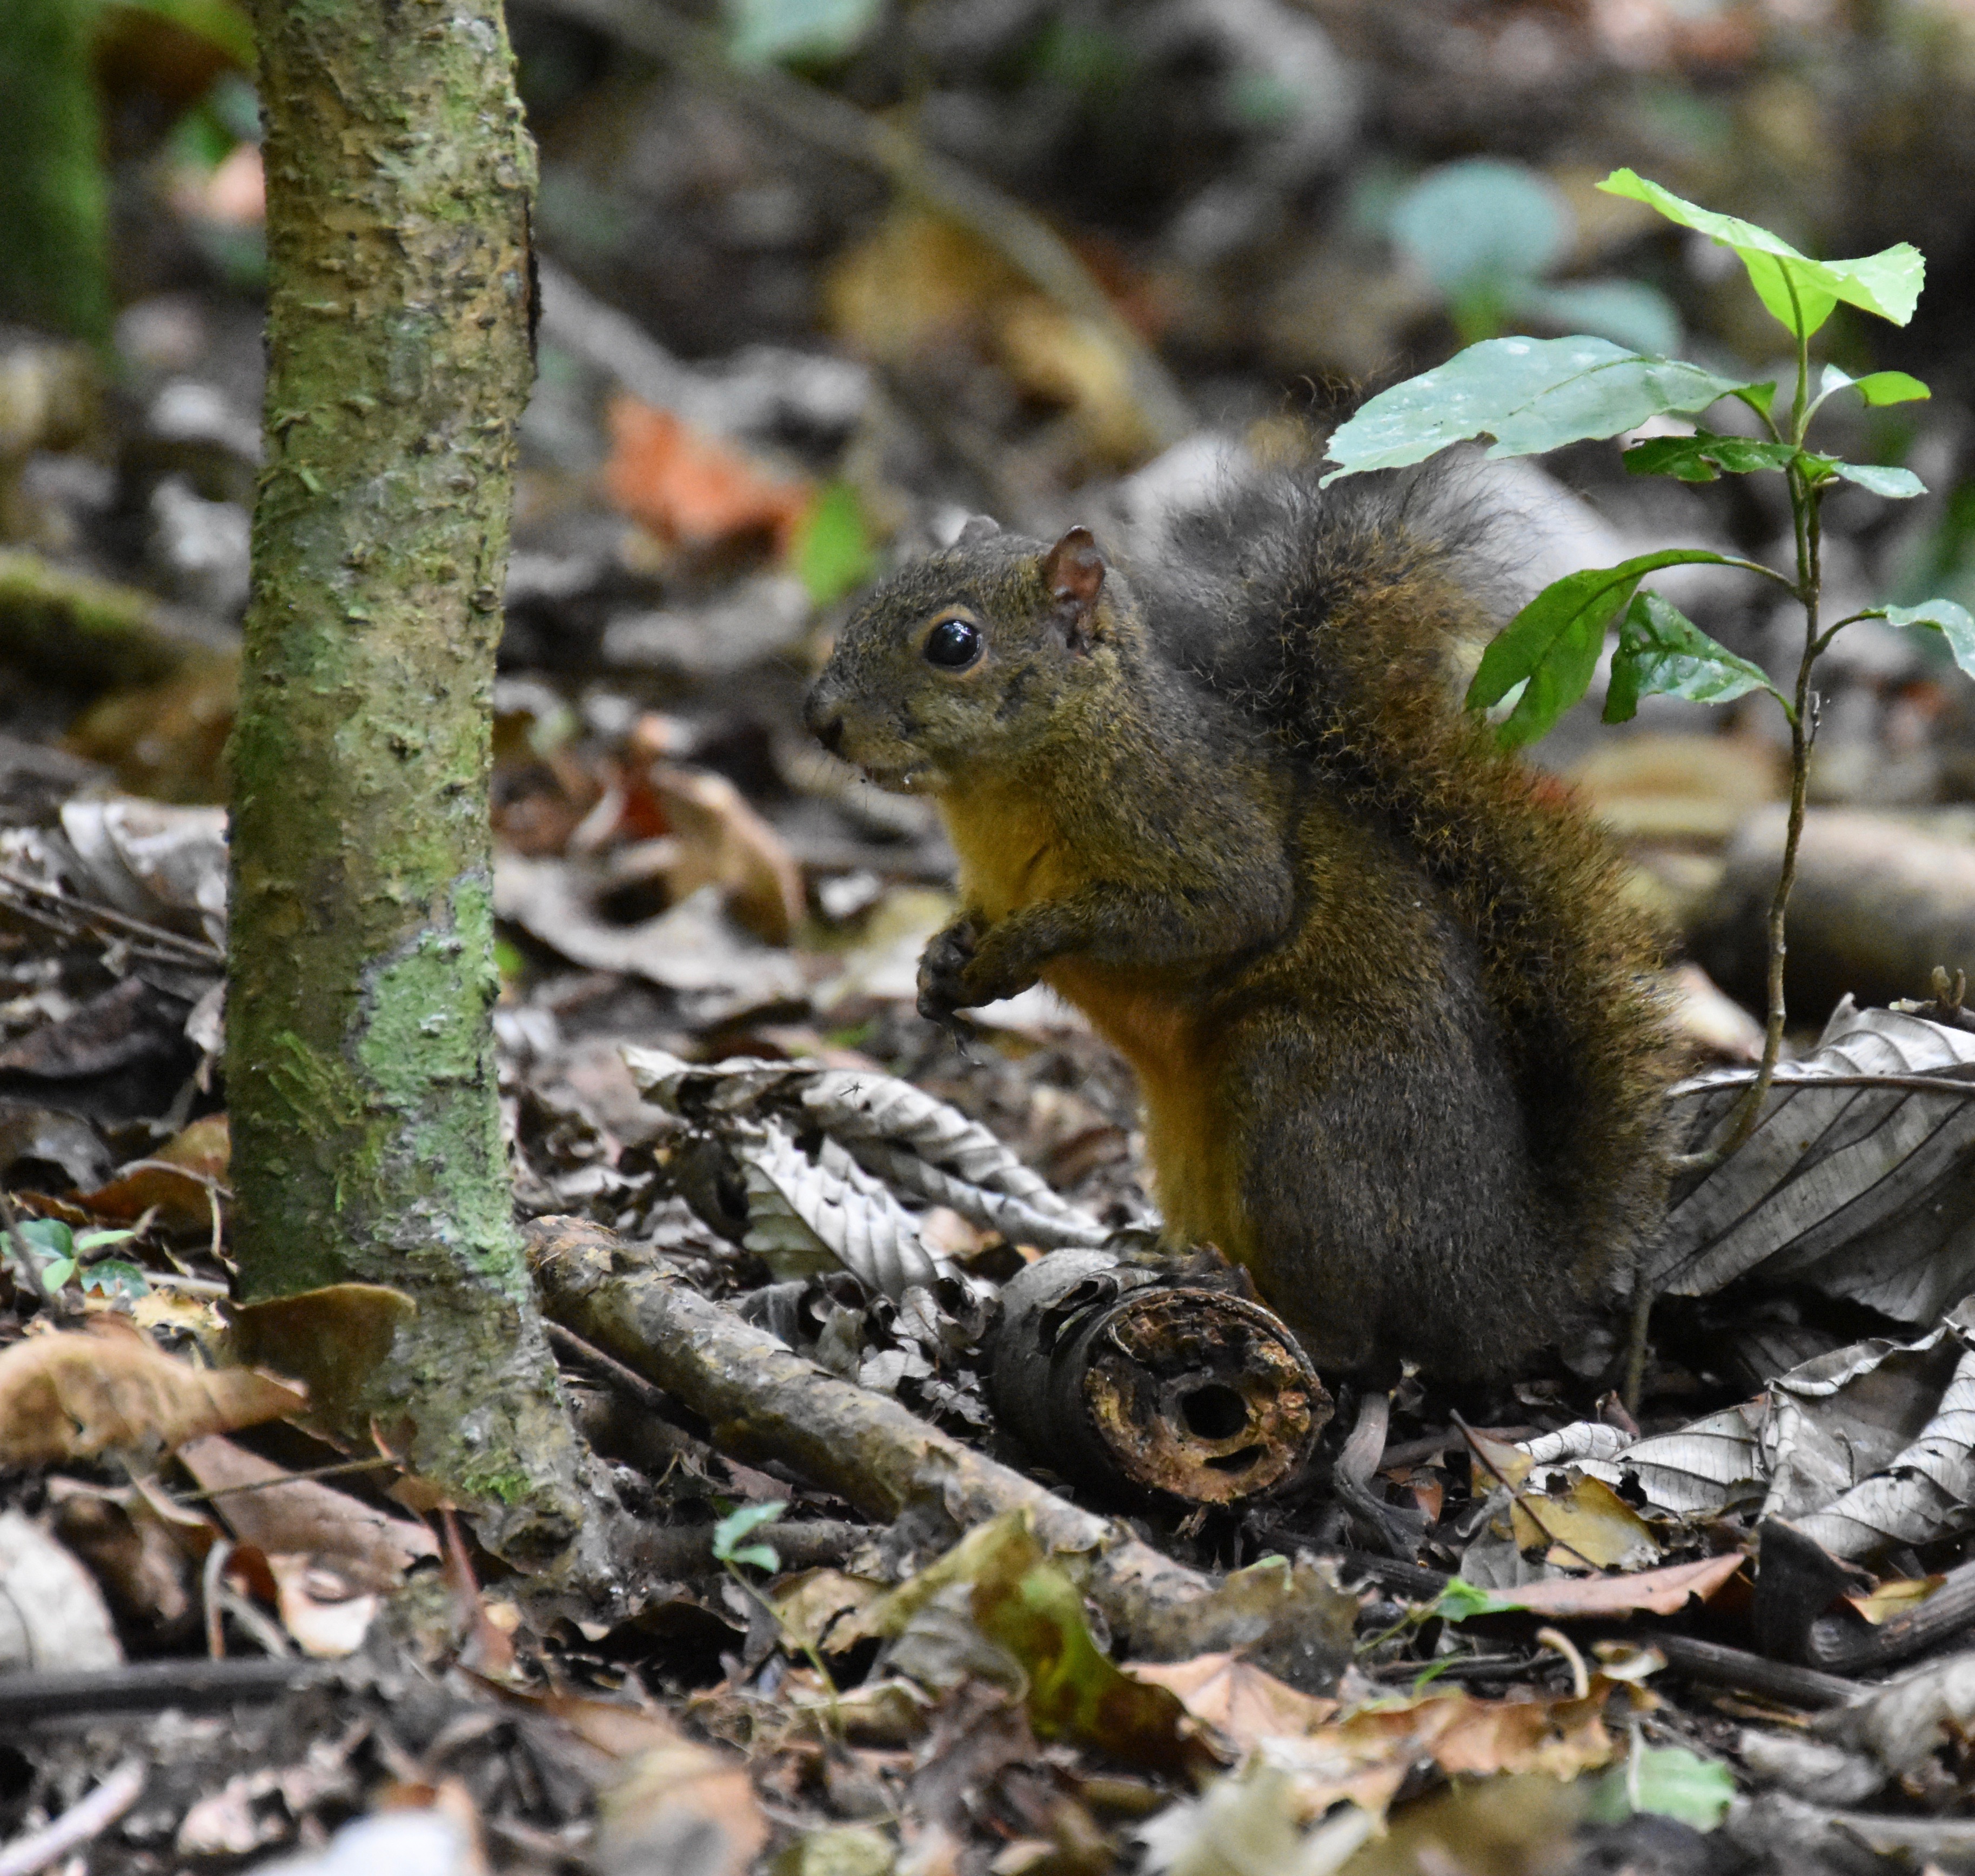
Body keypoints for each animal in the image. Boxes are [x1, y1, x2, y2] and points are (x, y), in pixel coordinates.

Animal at [798, 444, 1666, 1382]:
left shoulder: (1196, 829)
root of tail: (1506, 1283)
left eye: (953, 643)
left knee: (1355, 1339)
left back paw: (1269, 1308)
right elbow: (970, 923)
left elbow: (1219, 912)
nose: (820, 720)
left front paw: (1022, 947)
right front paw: (939, 965)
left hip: (1295, 1104)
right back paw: (1157, 1252)